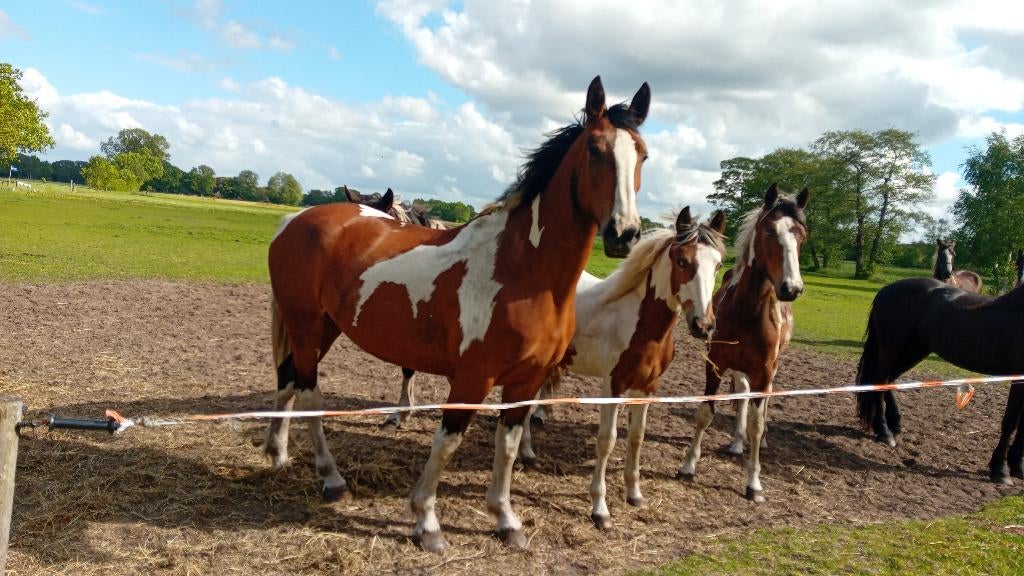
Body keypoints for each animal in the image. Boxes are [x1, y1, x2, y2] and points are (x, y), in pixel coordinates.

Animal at [263, 76, 650, 552]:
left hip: (326, 327)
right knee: (309, 392)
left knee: (289, 379)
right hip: (305, 325)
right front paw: (426, 522)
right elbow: (447, 442)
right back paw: (331, 478)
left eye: (642, 154)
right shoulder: (472, 378)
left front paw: (506, 520)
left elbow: (508, 445)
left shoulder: (527, 382)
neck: (521, 269)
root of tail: (293, 221)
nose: (624, 234)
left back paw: (278, 453)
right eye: (595, 150)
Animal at [518, 207, 726, 529]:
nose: (703, 325)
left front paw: (634, 494)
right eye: (682, 260)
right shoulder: (612, 386)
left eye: (718, 265)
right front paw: (599, 509)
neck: (640, 327)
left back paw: (527, 453)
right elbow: (607, 440)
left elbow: (636, 437)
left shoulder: (646, 388)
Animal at [677, 183, 810, 503]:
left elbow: (757, 424)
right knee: (742, 394)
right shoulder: (716, 363)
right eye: (769, 231)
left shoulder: (765, 370)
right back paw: (737, 443)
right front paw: (688, 465)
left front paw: (754, 483)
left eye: (802, 235)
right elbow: (706, 413)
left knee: (758, 401)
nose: (791, 288)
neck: (747, 312)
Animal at [855, 278, 1024, 483]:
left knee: (889, 380)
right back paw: (884, 432)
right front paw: (1000, 469)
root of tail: (885, 291)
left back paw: (895, 425)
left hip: (914, 350)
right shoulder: (1018, 379)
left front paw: (1018, 466)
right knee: (880, 382)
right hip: (892, 350)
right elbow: (1011, 422)